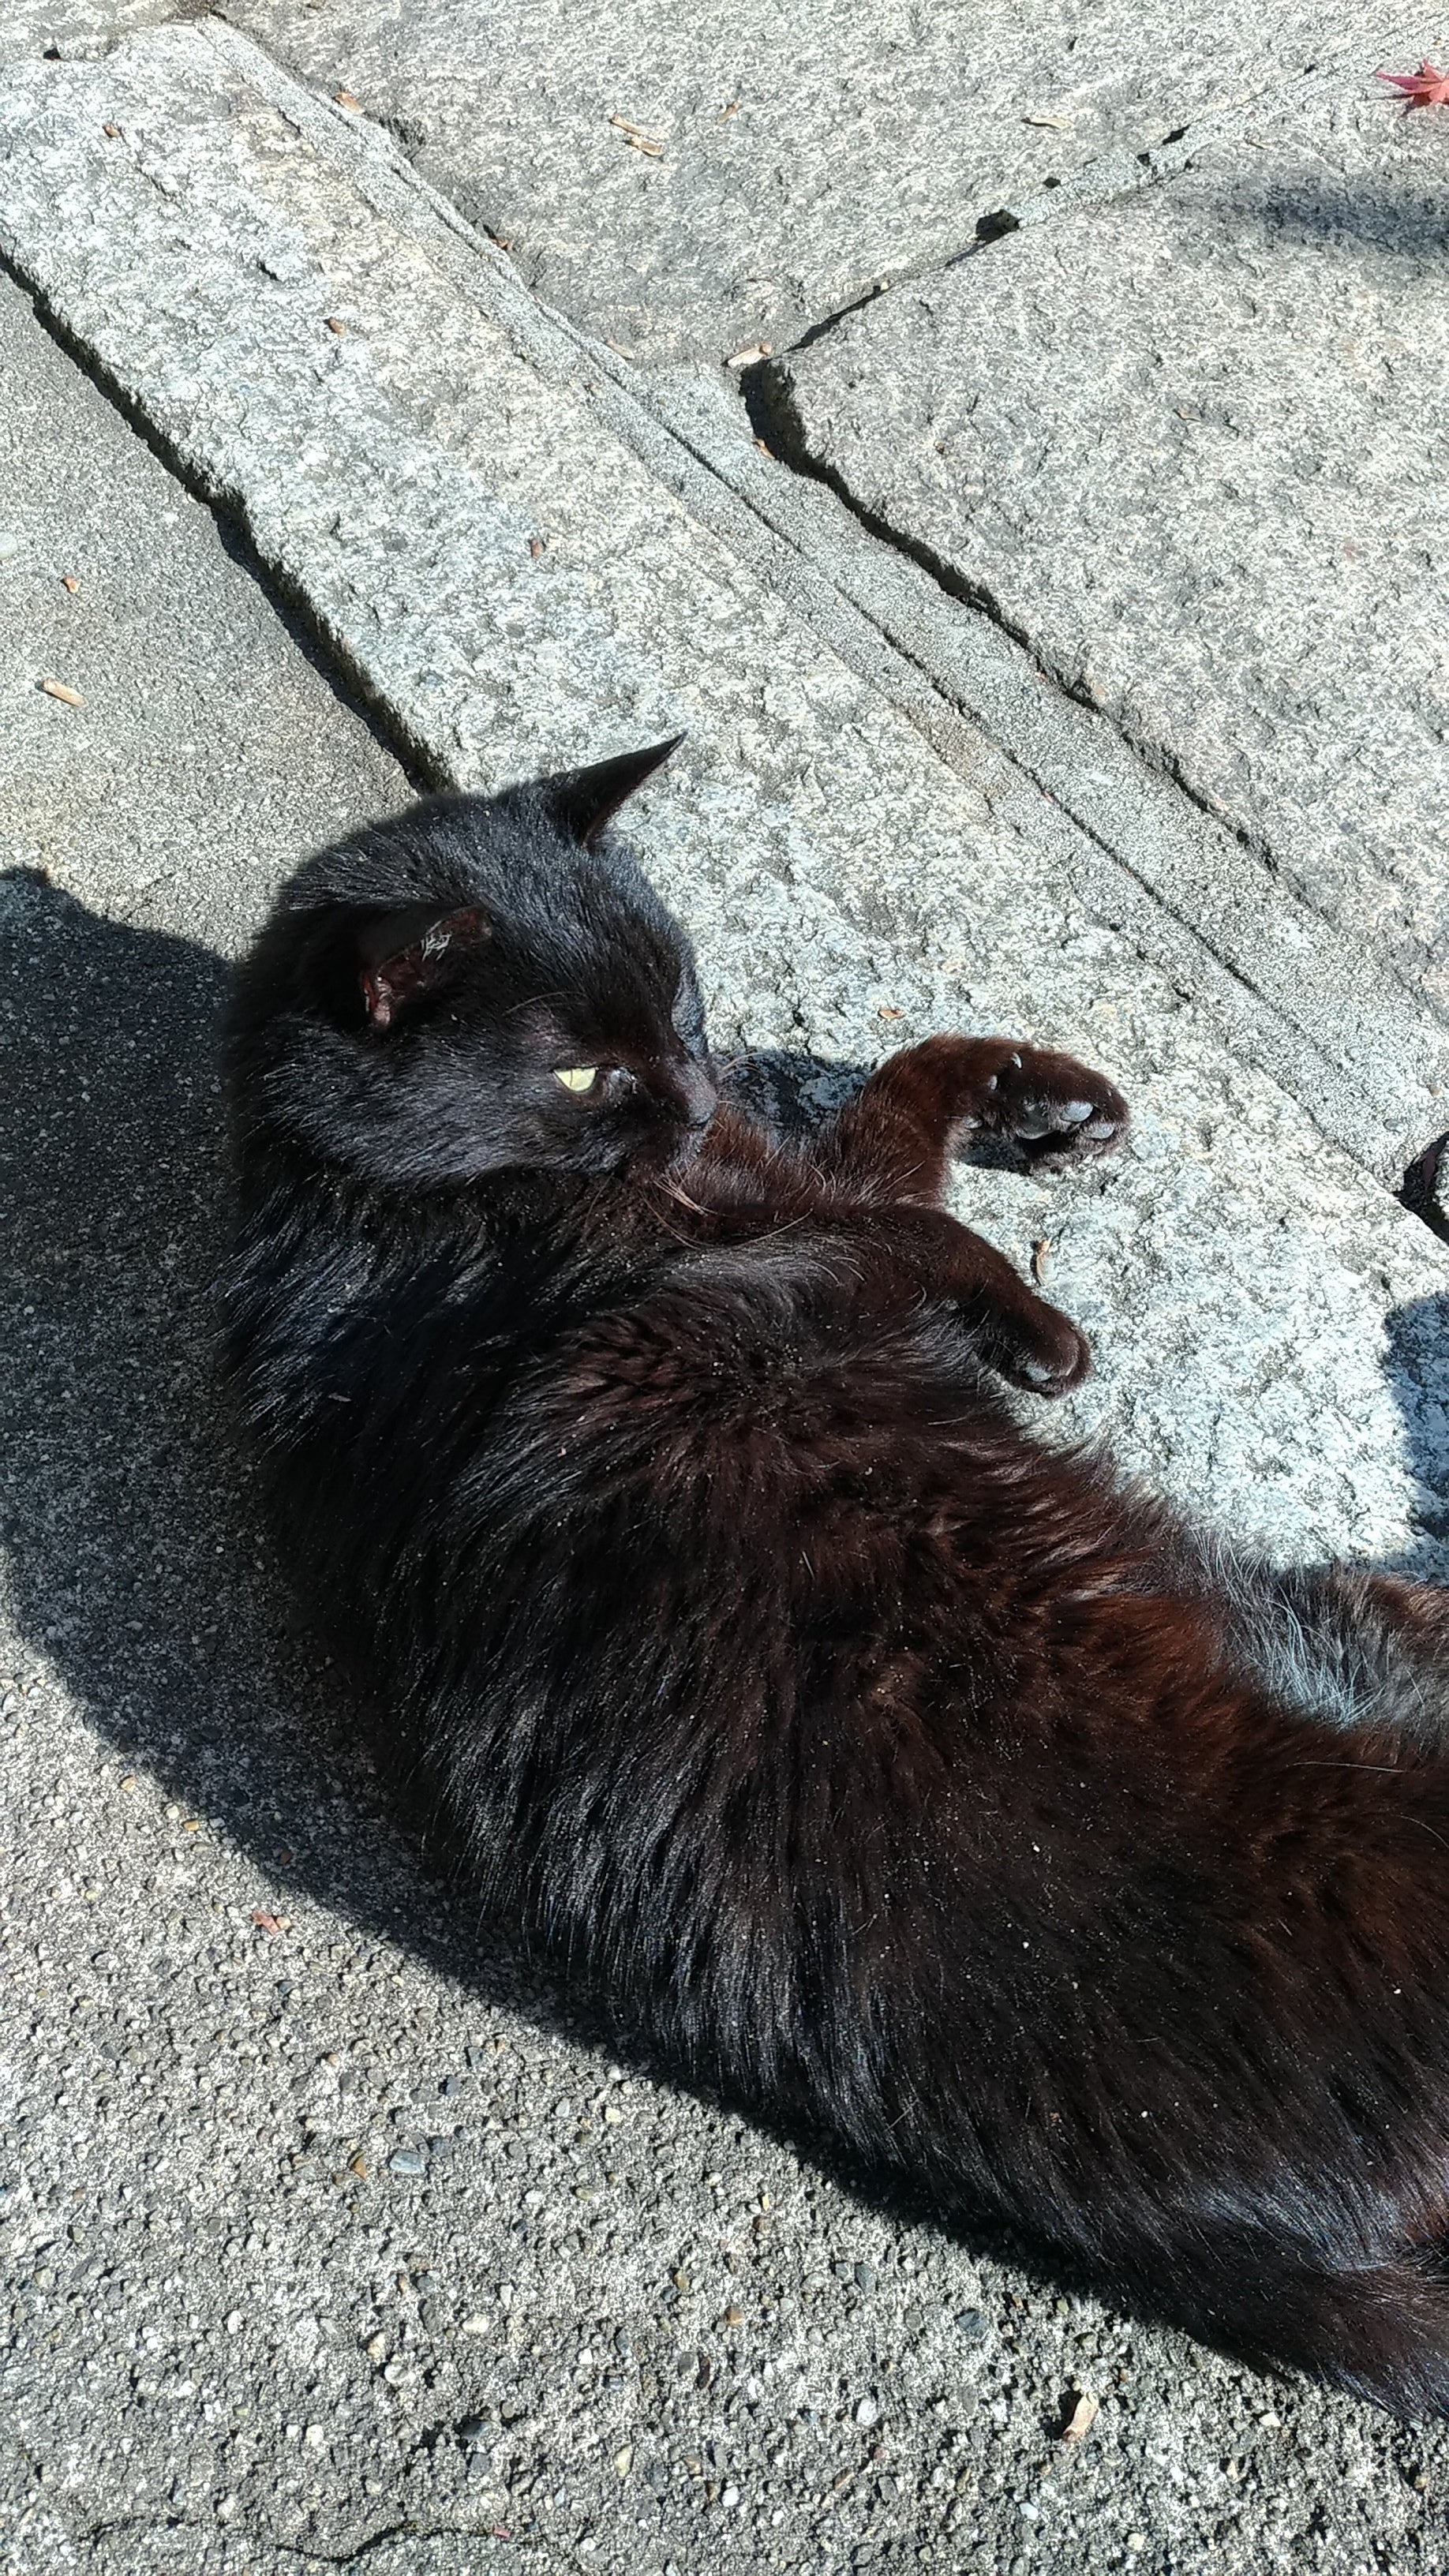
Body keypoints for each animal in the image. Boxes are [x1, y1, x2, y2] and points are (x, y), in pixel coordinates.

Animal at [222, 736, 1449, 2418]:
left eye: (681, 995)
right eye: (579, 1074)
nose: (699, 1090)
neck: (394, 1191)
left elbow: (889, 1114)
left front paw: (1034, 1098)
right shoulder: (717, 1295)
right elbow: (896, 1217)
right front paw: (1034, 1317)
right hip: (1355, 1649)